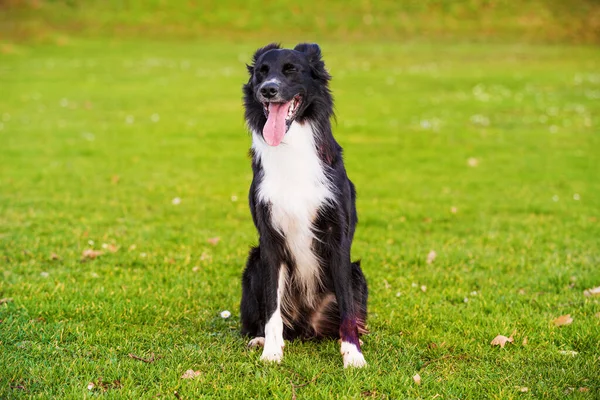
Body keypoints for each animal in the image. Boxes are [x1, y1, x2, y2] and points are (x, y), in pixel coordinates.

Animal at [241, 43, 368, 368]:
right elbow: (272, 309)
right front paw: (272, 352)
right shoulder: (270, 239)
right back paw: (259, 338)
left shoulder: (338, 236)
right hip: (253, 264)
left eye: (291, 70)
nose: (268, 89)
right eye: (261, 72)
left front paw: (352, 354)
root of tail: (306, 326)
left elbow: (347, 307)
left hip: (357, 274)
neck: (291, 145)